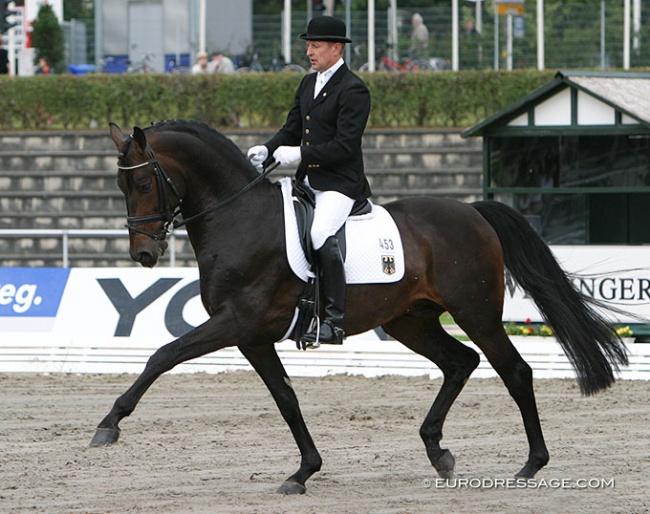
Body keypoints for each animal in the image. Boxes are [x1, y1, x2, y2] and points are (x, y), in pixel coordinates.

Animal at [92, 119, 628, 492]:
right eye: (121, 188)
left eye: (144, 184)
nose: (144, 255)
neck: (238, 217)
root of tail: (472, 211)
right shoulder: (253, 336)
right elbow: (285, 398)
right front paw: (304, 472)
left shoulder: (235, 322)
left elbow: (162, 355)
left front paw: (108, 425)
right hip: (411, 321)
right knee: (461, 362)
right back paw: (438, 451)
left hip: (476, 313)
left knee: (514, 371)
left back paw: (530, 465)